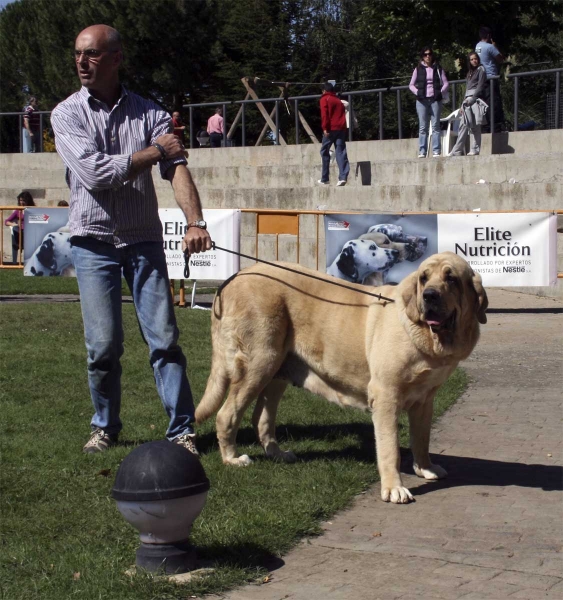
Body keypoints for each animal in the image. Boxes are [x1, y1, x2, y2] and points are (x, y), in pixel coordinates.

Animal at [196, 251, 486, 504]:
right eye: (424, 278)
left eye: (451, 278)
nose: (429, 295)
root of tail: (234, 278)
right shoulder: (386, 396)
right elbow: (390, 447)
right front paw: (394, 488)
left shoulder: (425, 400)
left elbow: (422, 438)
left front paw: (425, 468)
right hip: (259, 363)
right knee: (227, 414)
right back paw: (232, 459)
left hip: (277, 369)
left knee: (262, 417)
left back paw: (277, 454)